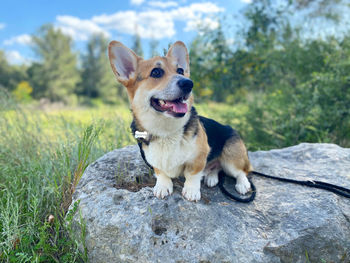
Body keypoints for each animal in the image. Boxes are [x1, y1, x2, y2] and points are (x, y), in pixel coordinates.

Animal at [107, 40, 252, 202]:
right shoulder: (154, 160)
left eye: (181, 71)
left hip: (231, 157)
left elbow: (193, 174)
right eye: (156, 72)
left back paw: (242, 184)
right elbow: (161, 173)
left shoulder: (199, 157)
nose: (189, 83)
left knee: (242, 171)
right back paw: (211, 177)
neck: (166, 131)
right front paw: (162, 186)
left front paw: (191, 190)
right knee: (217, 168)